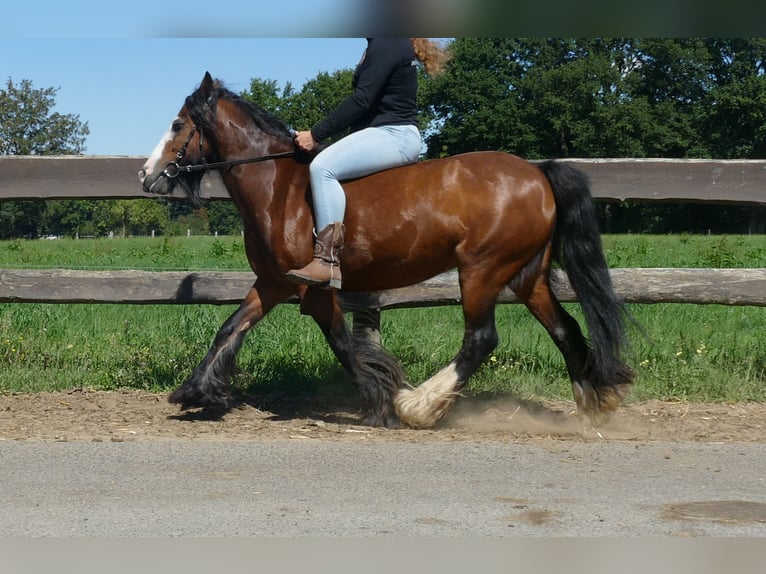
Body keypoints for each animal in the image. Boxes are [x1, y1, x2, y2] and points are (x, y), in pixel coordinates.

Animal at [138, 71, 634, 429]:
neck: (279, 189)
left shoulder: (315, 290)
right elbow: (230, 327)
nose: (147, 175)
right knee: (565, 328)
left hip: (482, 270)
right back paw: (593, 404)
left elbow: (343, 345)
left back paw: (420, 406)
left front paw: (383, 404)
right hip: (527, 275)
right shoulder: (274, 282)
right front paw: (193, 390)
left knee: (480, 338)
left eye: (178, 125)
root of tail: (537, 173)